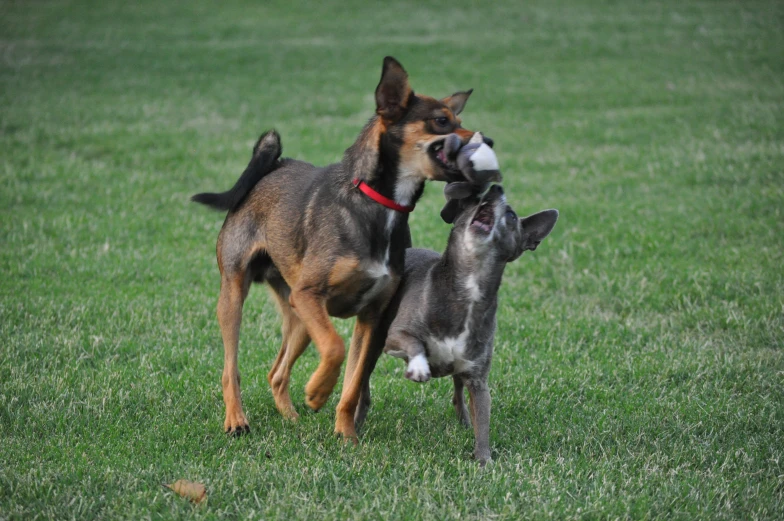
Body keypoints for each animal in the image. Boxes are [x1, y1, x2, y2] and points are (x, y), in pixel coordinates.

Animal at [193, 55, 486, 438]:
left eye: (460, 121)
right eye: (441, 121)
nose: (486, 139)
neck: (379, 205)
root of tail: (272, 167)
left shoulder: (370, 318)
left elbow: (353, 381)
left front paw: (346, 435)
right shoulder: (312, 297)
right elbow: (335, 347)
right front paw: (317, 392)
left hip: (298, 315)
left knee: (276, 373)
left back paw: (291, 417)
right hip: (236, 295)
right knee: (231, 368)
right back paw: (237, 419)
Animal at [356, 183, 556, 464]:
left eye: (512, 216)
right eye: (475, 202)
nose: (495, 188)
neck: (468, 287)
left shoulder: (478, 381)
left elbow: (483, 423)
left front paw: (484, 460)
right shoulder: (397, 336)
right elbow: (415, 344)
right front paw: (419, 367)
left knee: (458, 393)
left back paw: (464, 420)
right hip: (372, 348)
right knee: (363, 386)